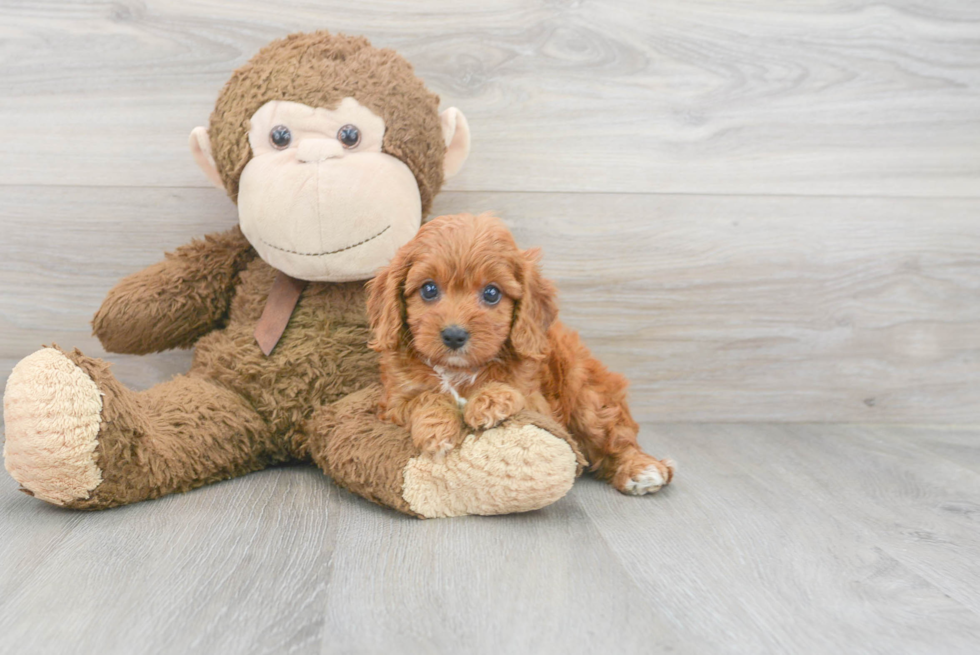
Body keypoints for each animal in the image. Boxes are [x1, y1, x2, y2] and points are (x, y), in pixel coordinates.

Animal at [366, 213, 672, 494]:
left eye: (492, 293)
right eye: (429, 289)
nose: (454, 335)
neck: (460, 370)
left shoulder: (540, 405)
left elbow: (514, 391)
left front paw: (489, 401)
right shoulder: (393, 401)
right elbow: (424, 396)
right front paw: (436, 428)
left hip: (587, 396)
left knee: (616, 437)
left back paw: (641, 469)